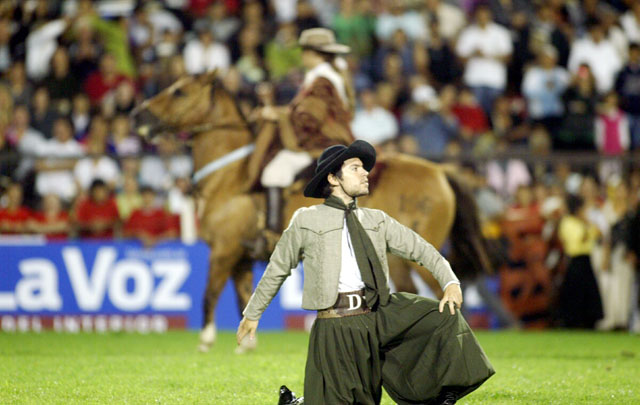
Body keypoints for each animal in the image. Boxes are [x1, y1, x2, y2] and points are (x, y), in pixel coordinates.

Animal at [131, 72, 490, 350]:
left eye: (179, 91)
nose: (138, 116)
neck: (231, 174)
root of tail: (441, 170)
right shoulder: (242, 257)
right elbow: (245, 297)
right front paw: (247, 344)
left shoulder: (224, 250)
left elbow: (209, 293)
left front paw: (206, 341)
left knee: (443, 291)